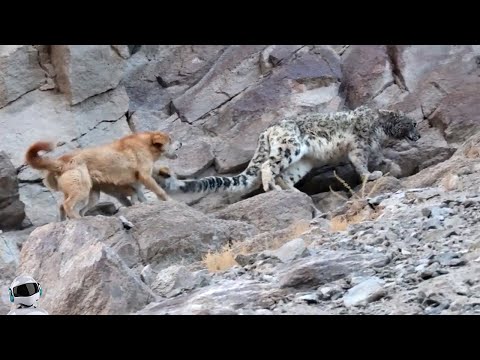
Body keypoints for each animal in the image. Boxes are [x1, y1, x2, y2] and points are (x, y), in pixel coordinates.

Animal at [25, 131, 182, 218]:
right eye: (170, 140)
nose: (181, 143)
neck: (147, 144)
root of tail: (63, 161)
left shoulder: (137, 182)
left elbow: (141, 196)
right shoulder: (145, 176)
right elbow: (159, 191)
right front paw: (168, 201)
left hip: (90, 194)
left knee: (64, 207)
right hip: (81, 189)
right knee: (68, 205)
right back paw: (78, 220)